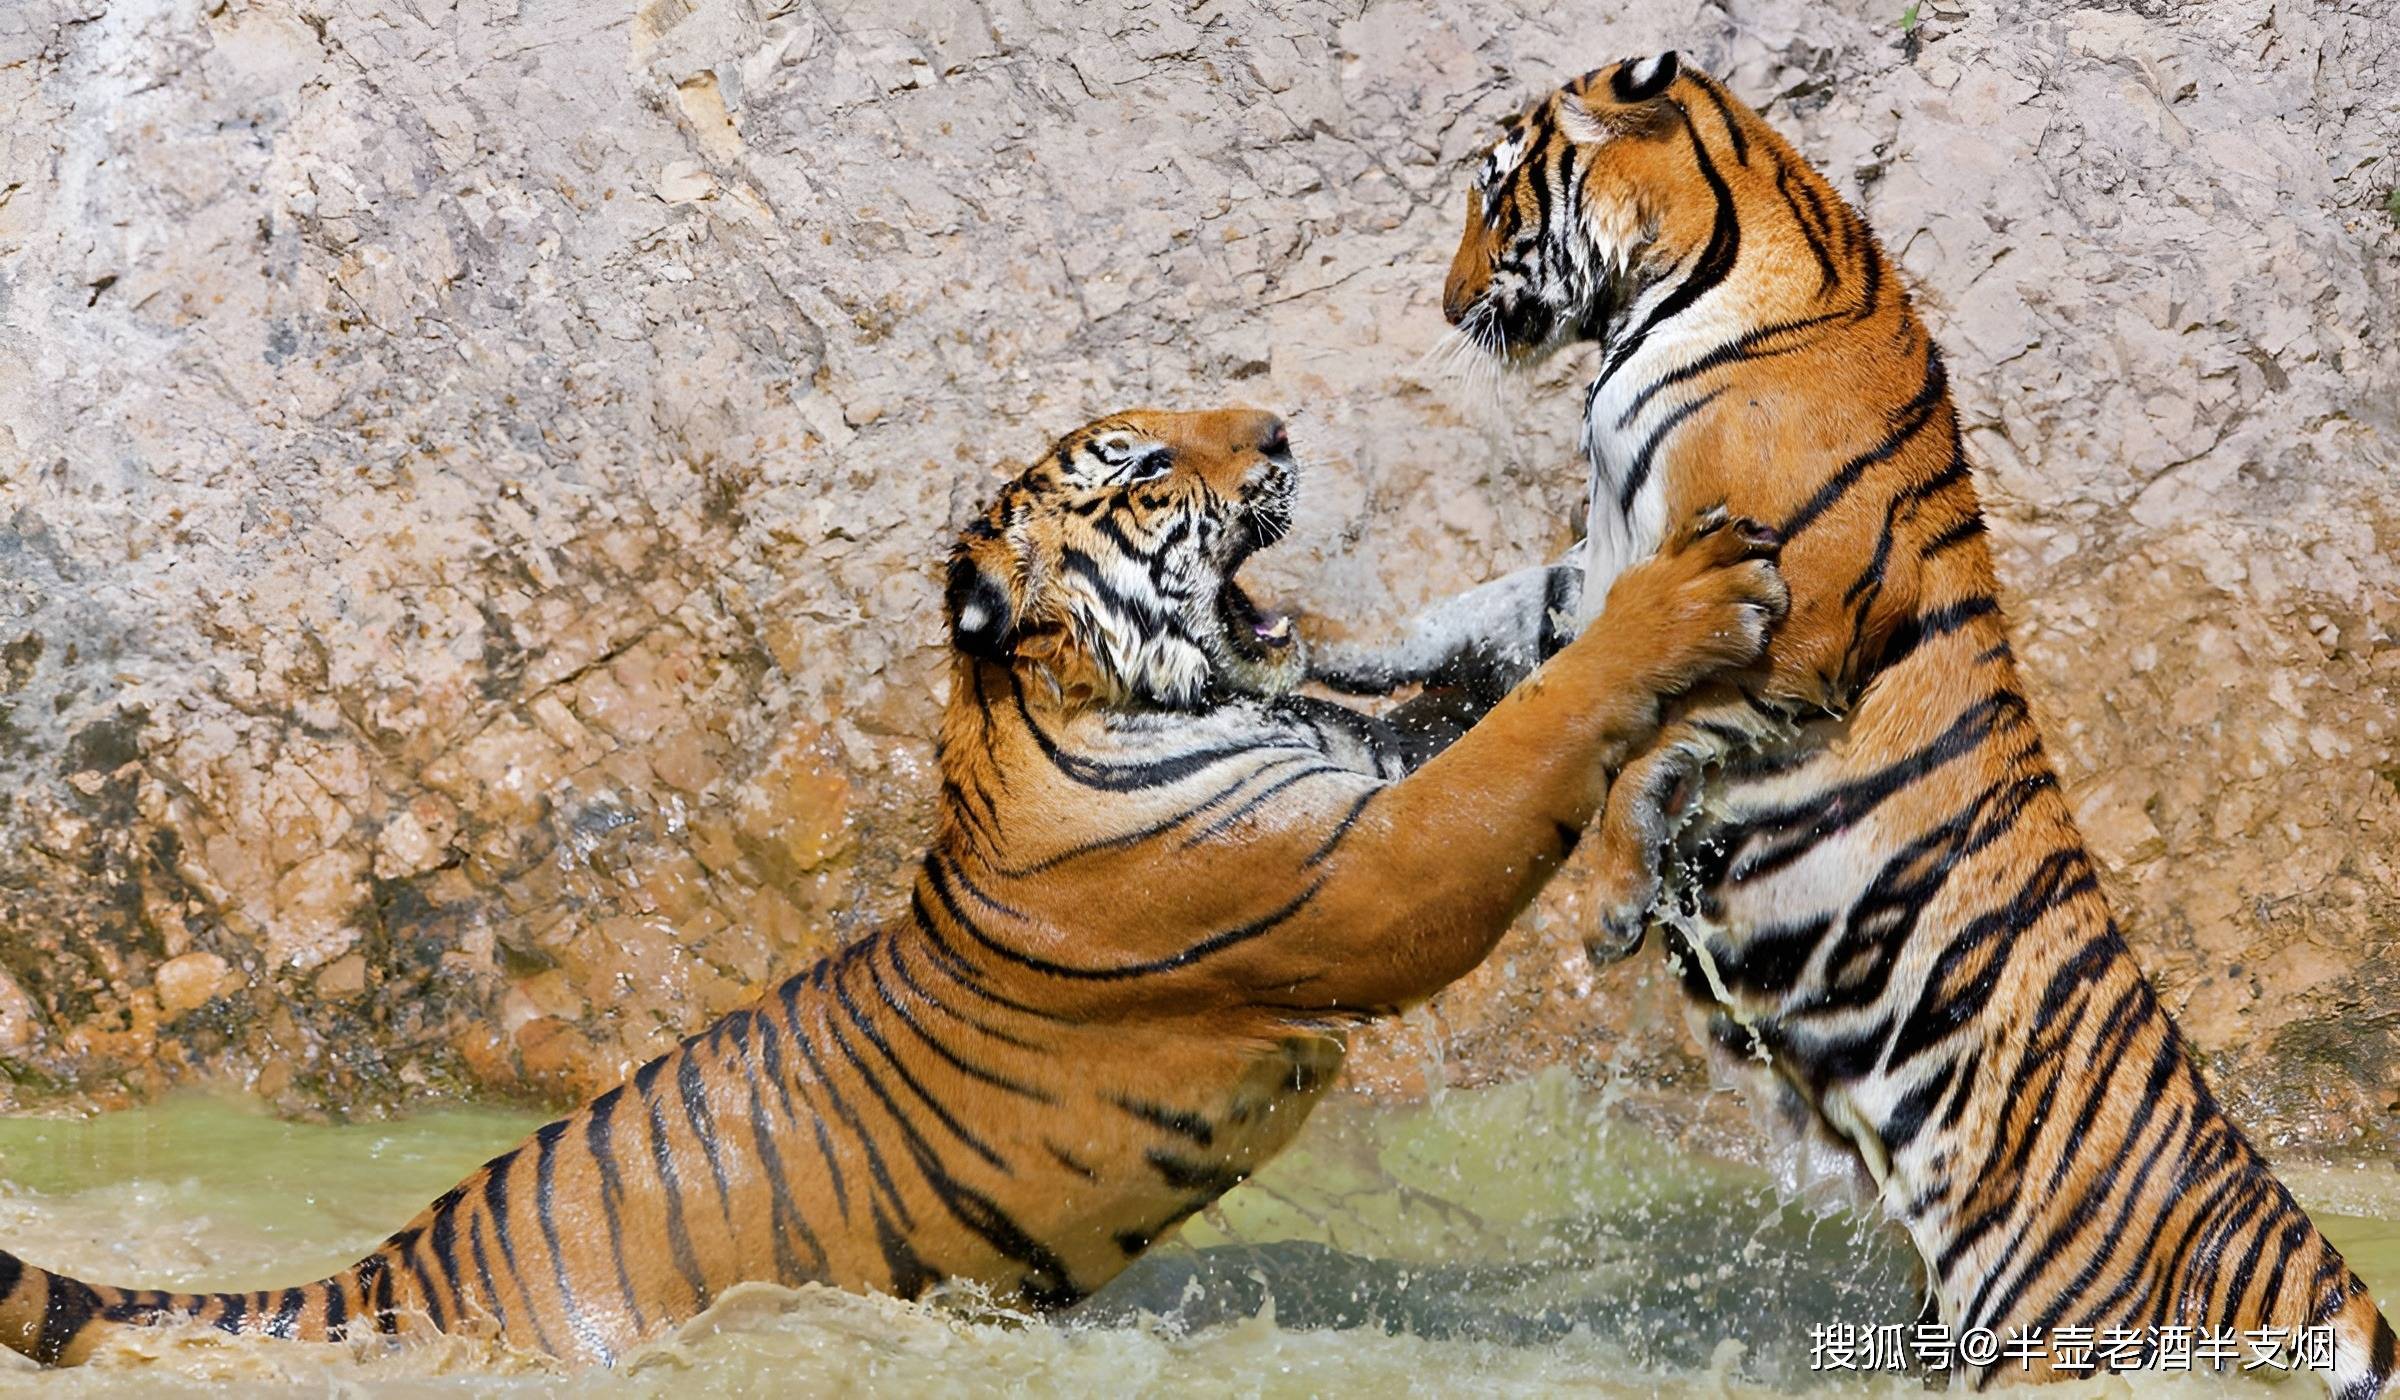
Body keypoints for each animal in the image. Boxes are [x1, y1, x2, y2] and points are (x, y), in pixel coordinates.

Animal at [1, 406, 1787, 1367]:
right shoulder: (1378, 876)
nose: (1280, 429)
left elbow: (1474, 699)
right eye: (1147, 468)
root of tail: (383, 1273)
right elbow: (1528, 746)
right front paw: (1689, 586)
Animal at [1432, 49, 2397, 1395]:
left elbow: (1657, 746)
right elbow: (1485, 627)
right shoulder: (1602, 571)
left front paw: (1615, 904)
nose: (1446, 303)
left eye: (1493, 193)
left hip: (2035, 1328)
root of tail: (2255, 1211)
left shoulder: (1796, 631)